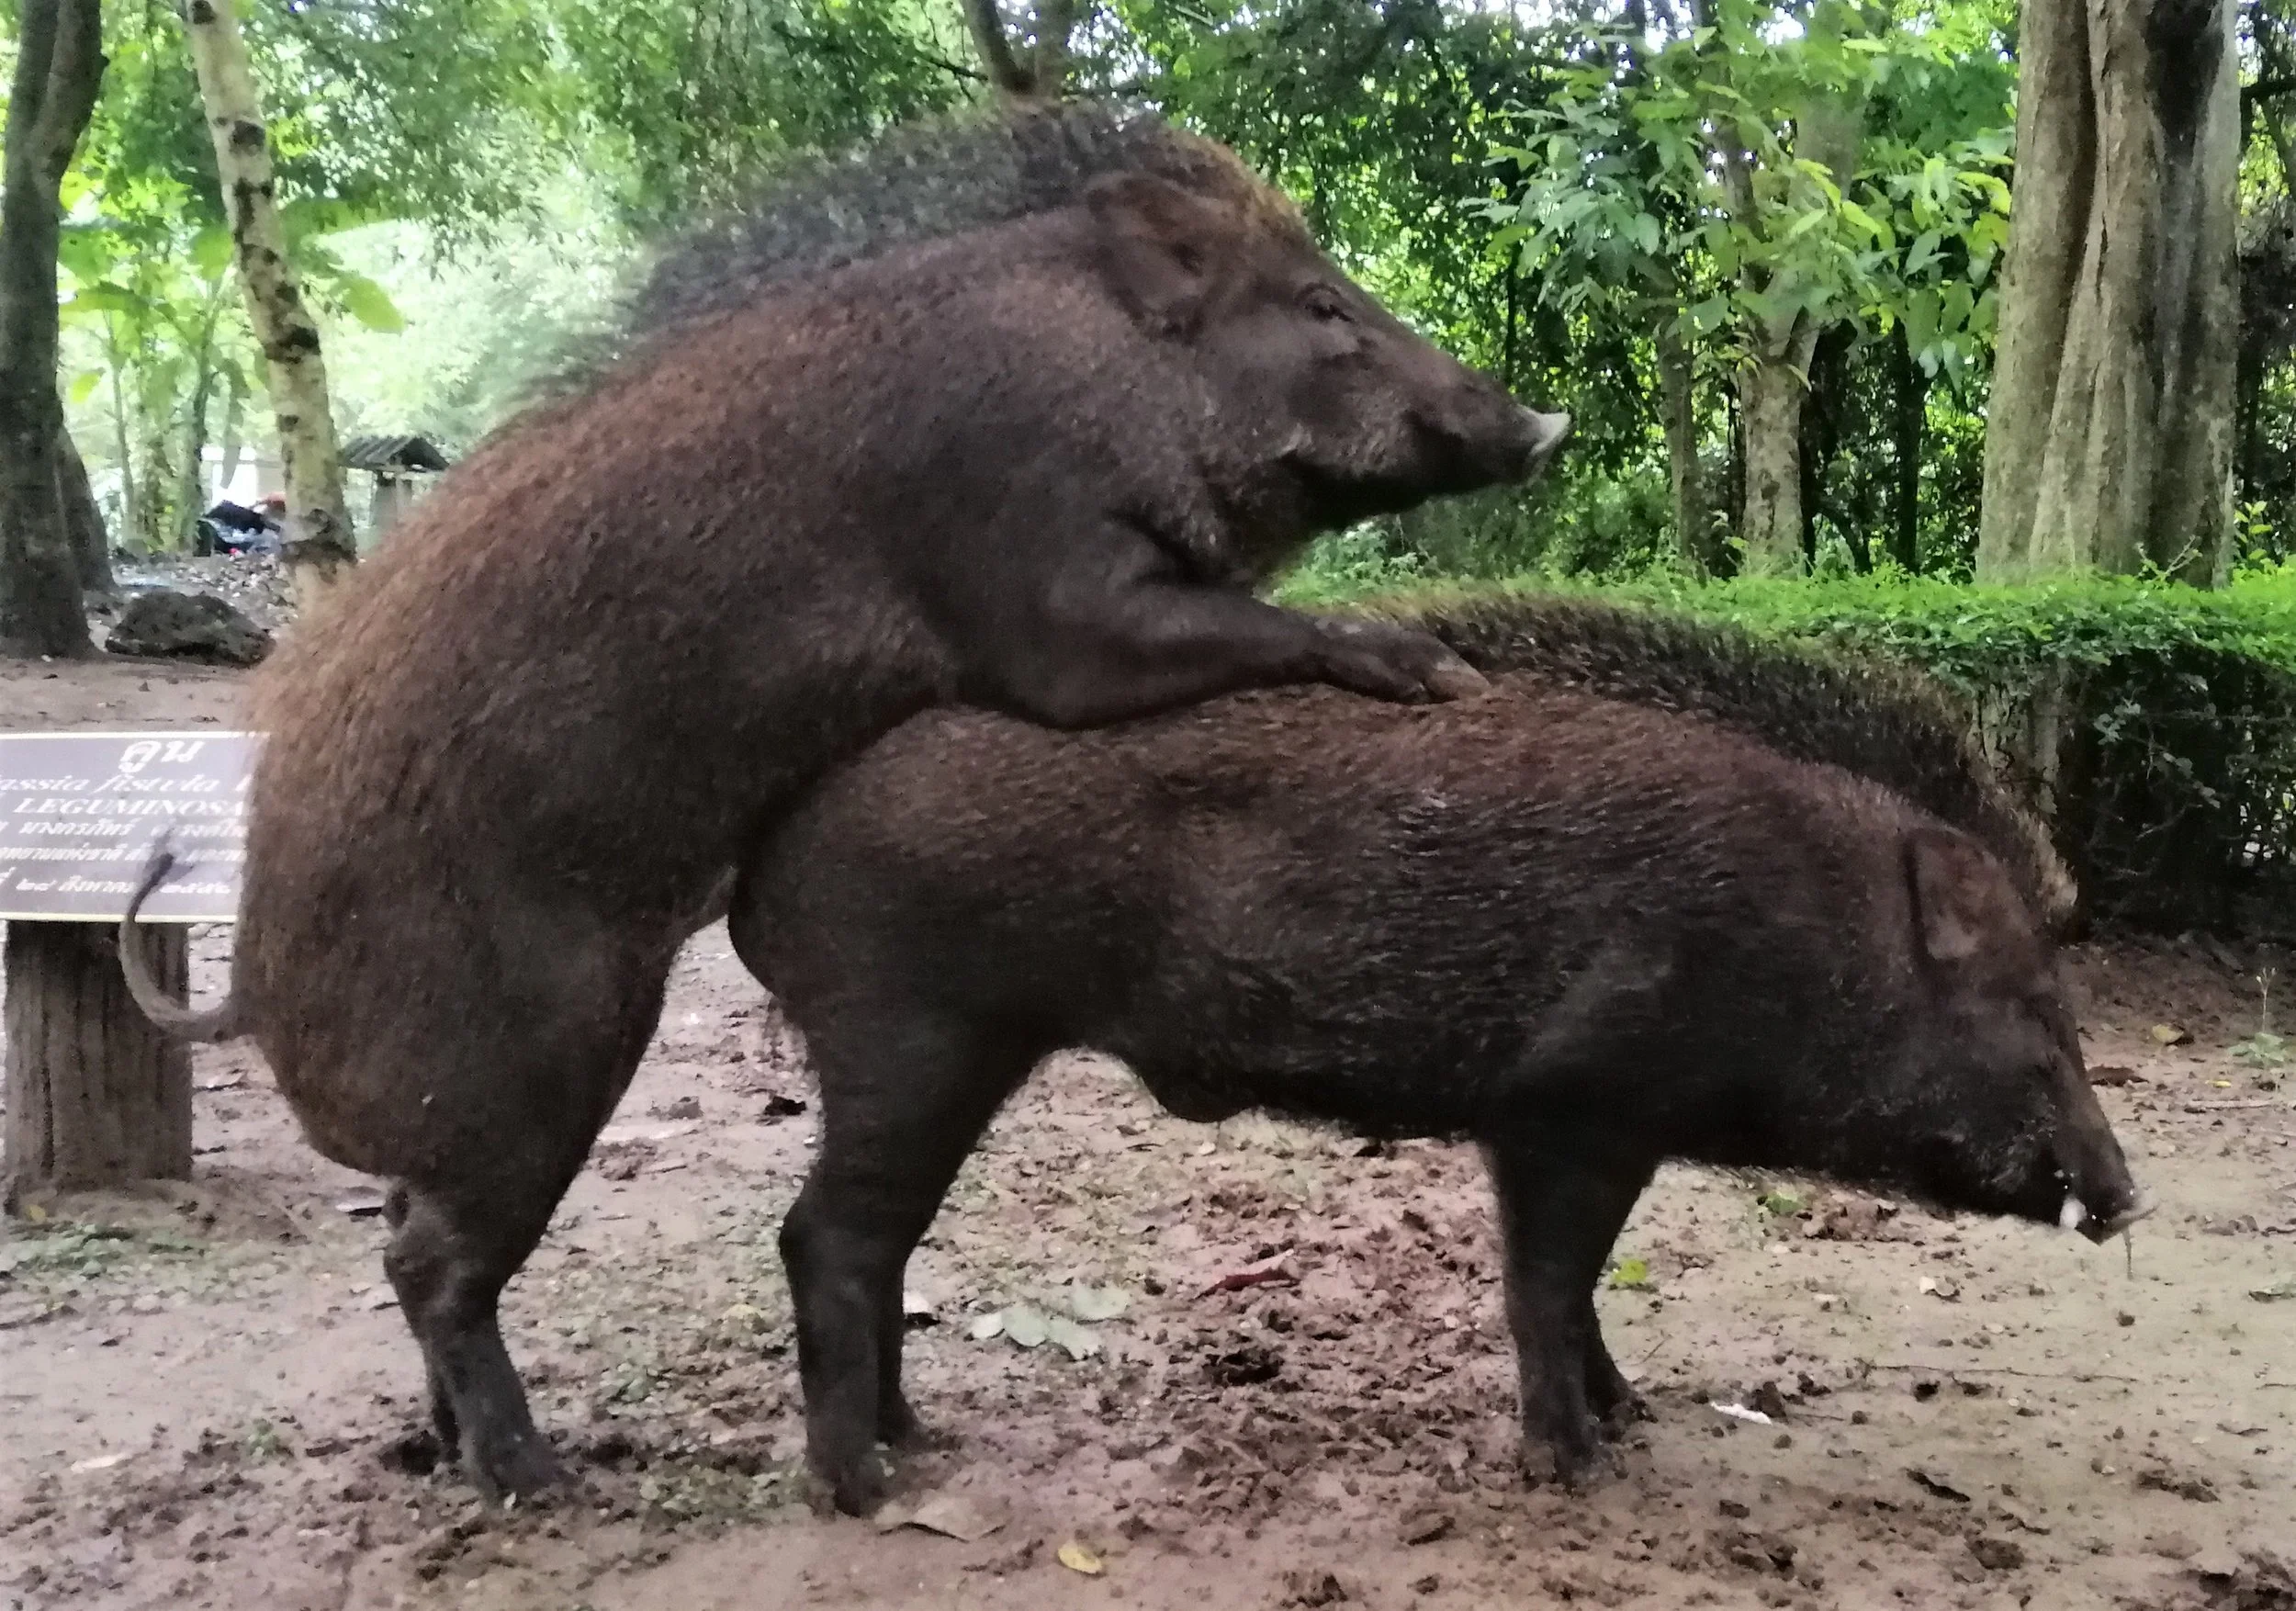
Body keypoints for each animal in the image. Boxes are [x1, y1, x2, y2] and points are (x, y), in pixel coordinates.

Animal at [115, 101, 1569, 1502]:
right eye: (1321, 304)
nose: (1540, 423)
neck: (1101, 366)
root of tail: (249, 988)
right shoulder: (1050, 601)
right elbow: (1242, 625)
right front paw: (1432, 666)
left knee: (403, 1244)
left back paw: (451, 1459)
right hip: (537, 1071)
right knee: (431, 1266)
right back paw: (544, 1481)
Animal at [727, 597, 2148, 1512]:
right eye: (2029, 1005)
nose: (2130, 1189)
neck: (1811, 930)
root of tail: (765, 859)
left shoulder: (1612, 1125)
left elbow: (1581, 1288)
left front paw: (1631, 1417)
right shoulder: (1566, 1103)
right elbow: (1544, 1284)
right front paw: (1574, 1470)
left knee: (877, 1244)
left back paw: (918, 1438)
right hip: (914, 1031)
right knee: (825, 1237)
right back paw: (861, 1486)